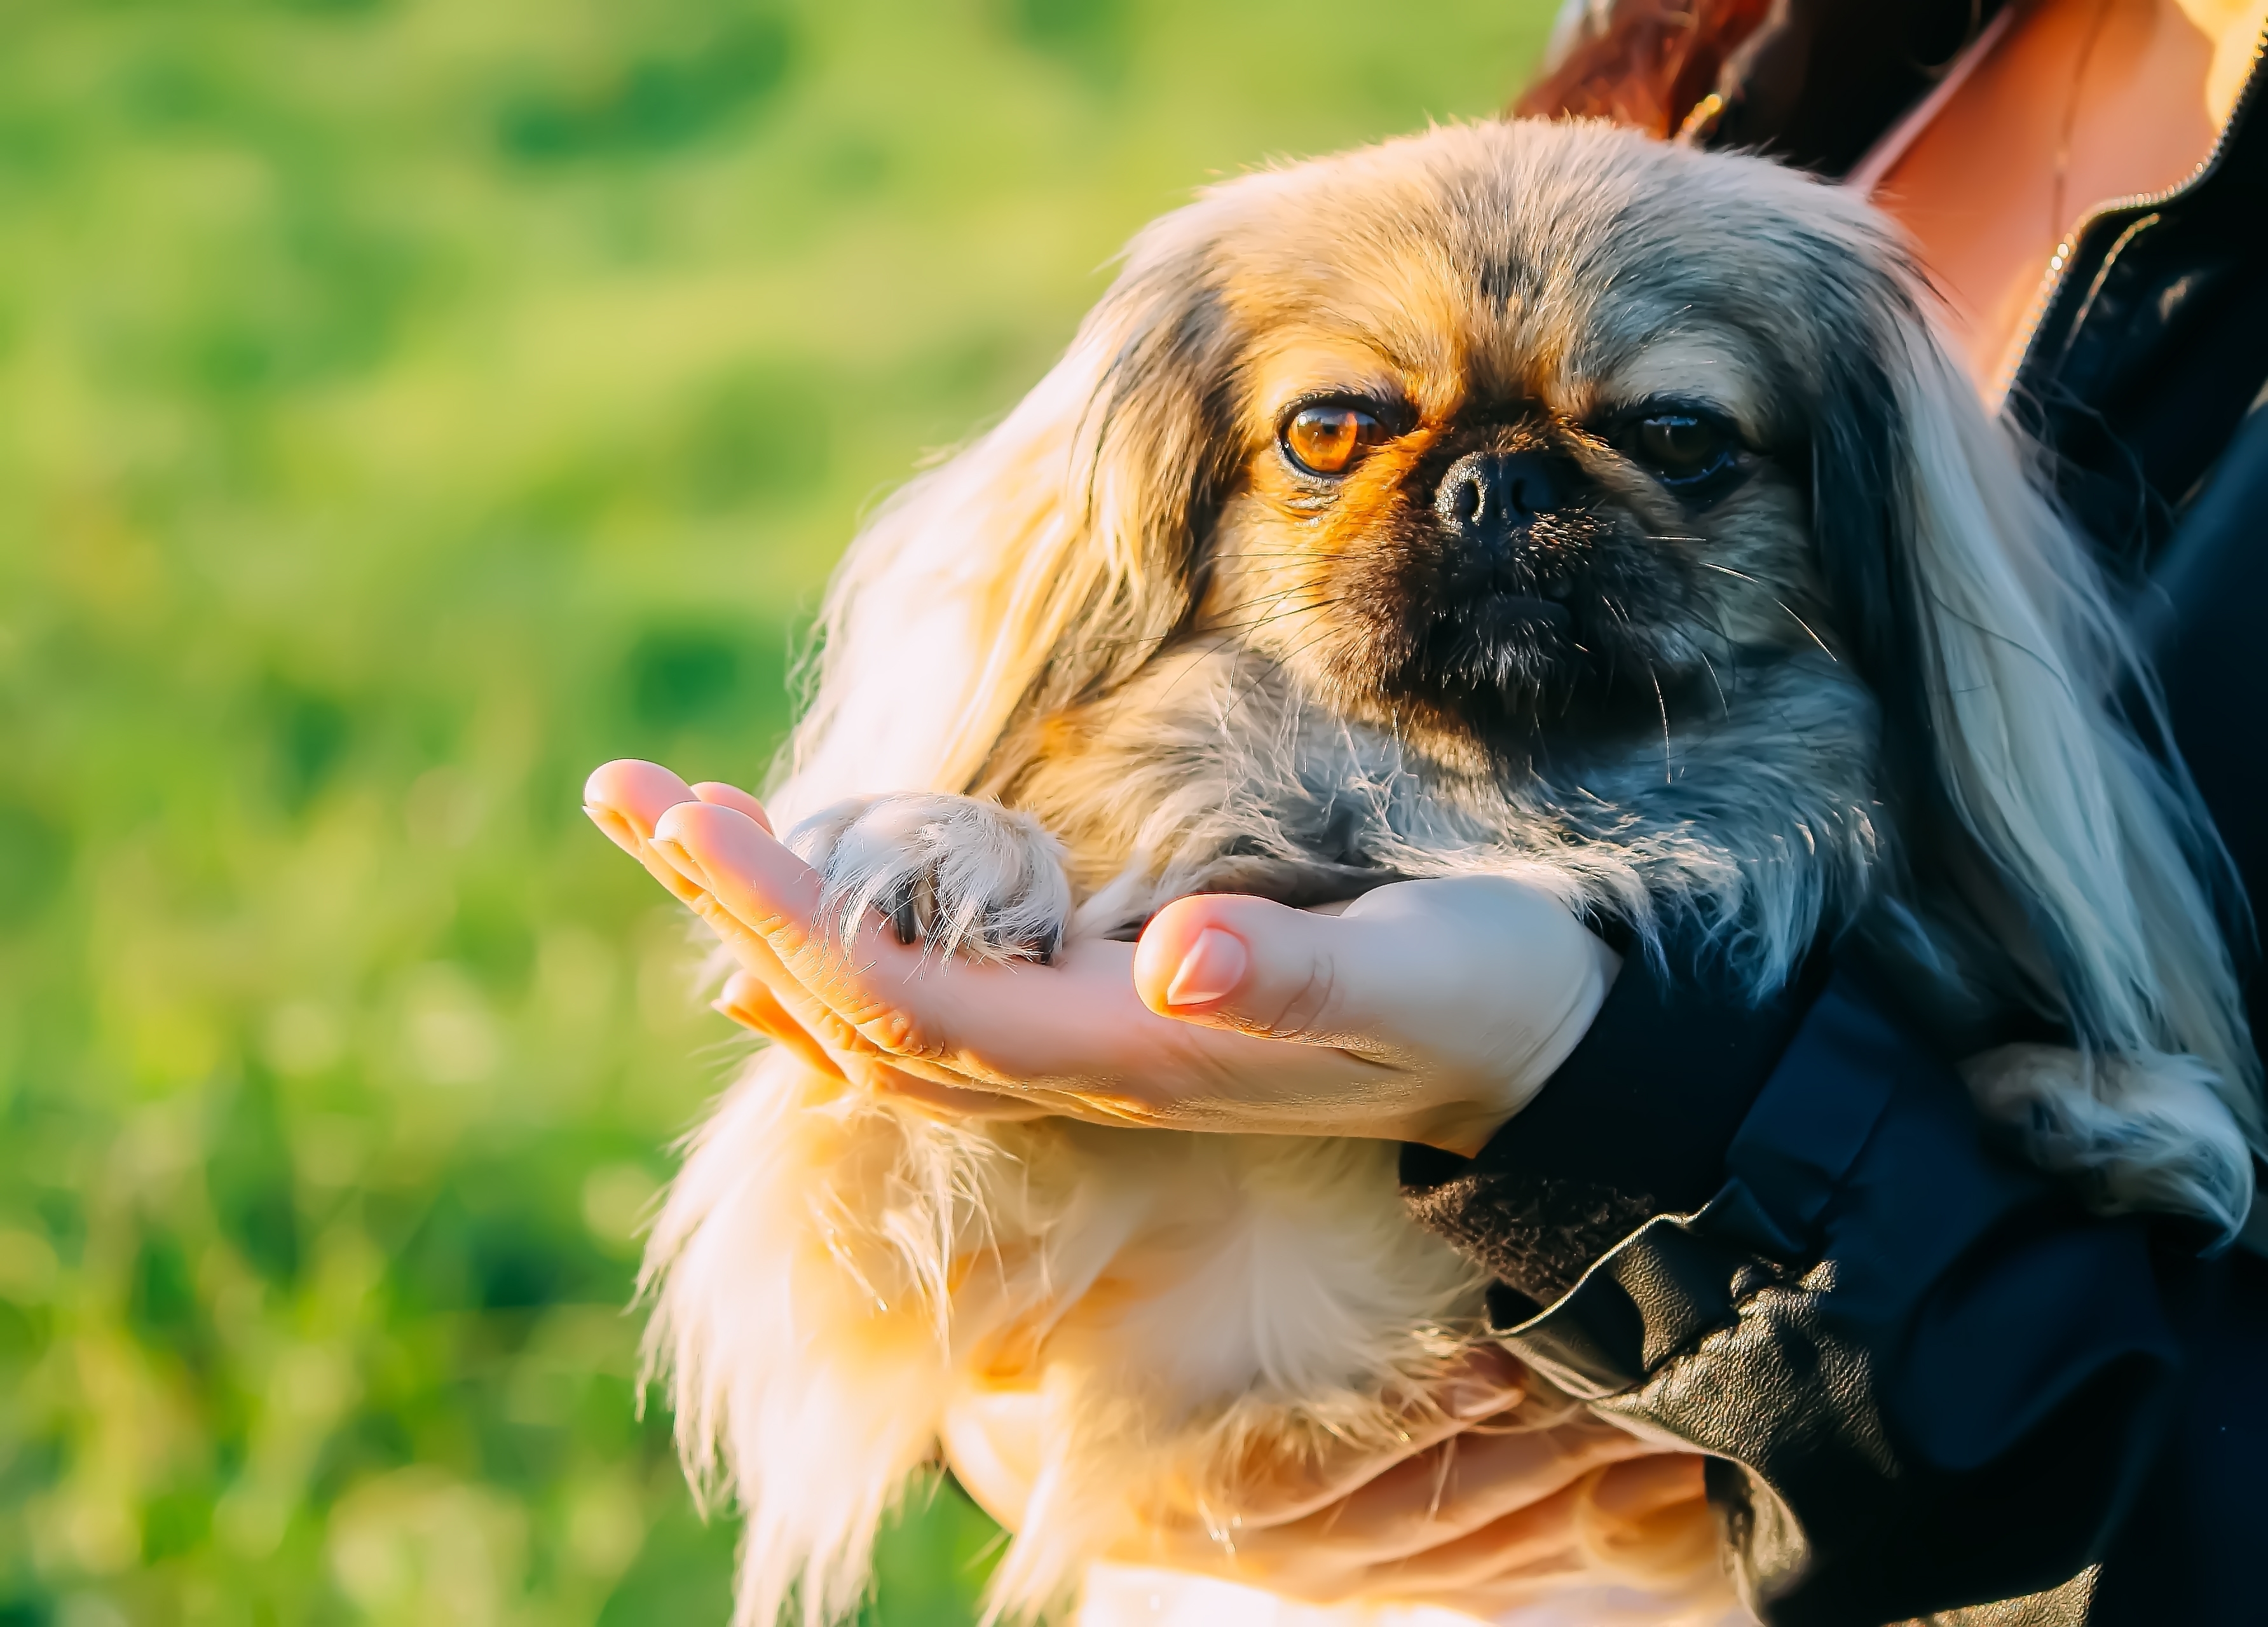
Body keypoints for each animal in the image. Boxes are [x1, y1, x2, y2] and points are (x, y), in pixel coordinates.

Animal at [639, 123, 2268, 1624]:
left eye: (1678, 434)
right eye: (1327, 430)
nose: (1496, 477)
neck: (1487, 804)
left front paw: (2099, 1106)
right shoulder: (917, 1238)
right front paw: (958, 846)